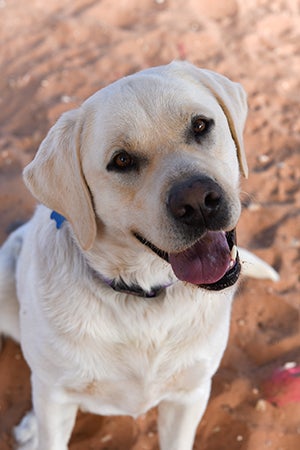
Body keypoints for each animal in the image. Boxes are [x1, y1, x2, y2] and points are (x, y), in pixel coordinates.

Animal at [0, 60, 278, 450]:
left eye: (200, 125)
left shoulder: (190, 395)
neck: (141, 294)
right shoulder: (55, 400)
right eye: (121, 160)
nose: (197, 202)